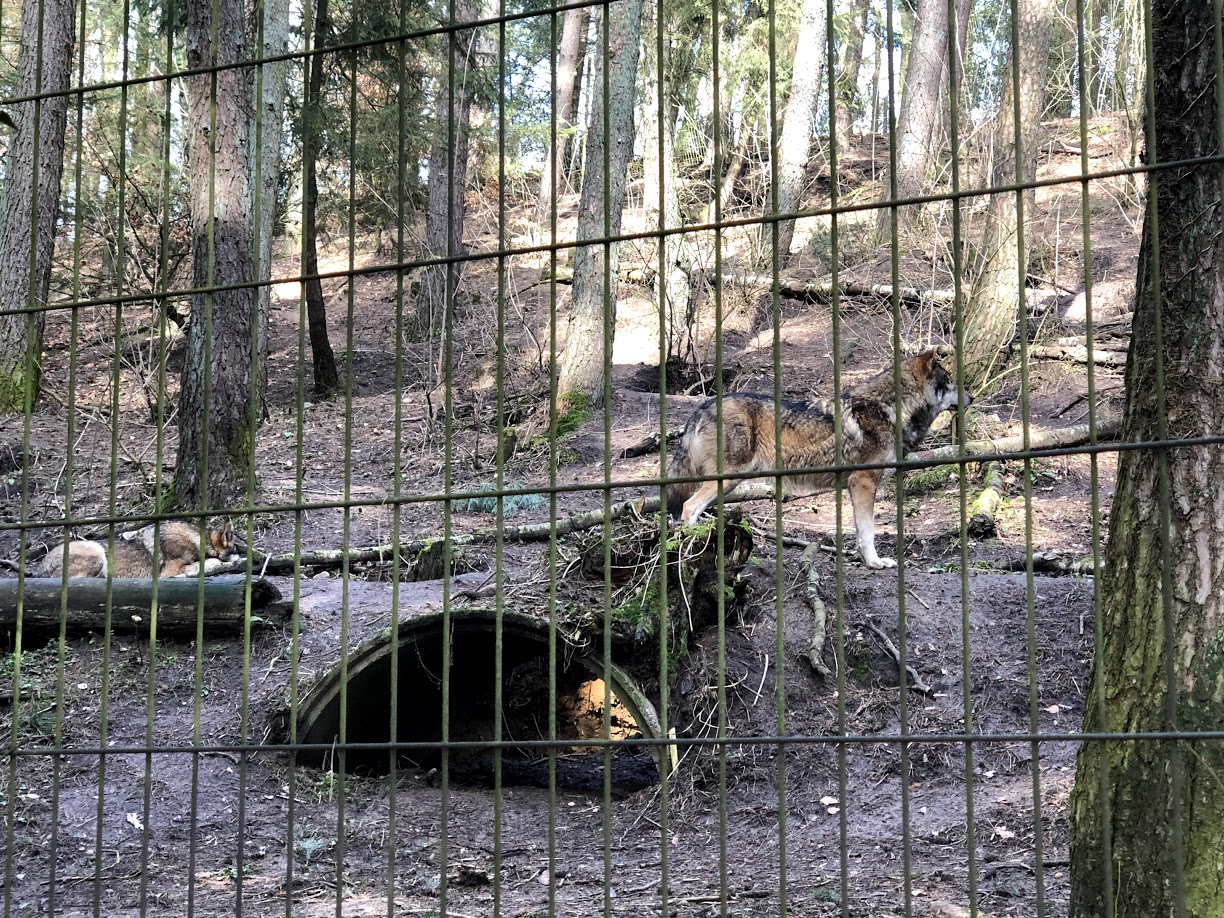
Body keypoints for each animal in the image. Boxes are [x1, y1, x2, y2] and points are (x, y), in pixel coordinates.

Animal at [666, 350, 972, 569]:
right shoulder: (864, 481)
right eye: (949, 382)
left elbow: (859, 531)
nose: (970, 397)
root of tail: (701, 408)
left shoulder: (855, 486)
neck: (890, 410)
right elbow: (869, 531)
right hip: (729, 478)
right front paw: (875, 563)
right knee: (689, 507)